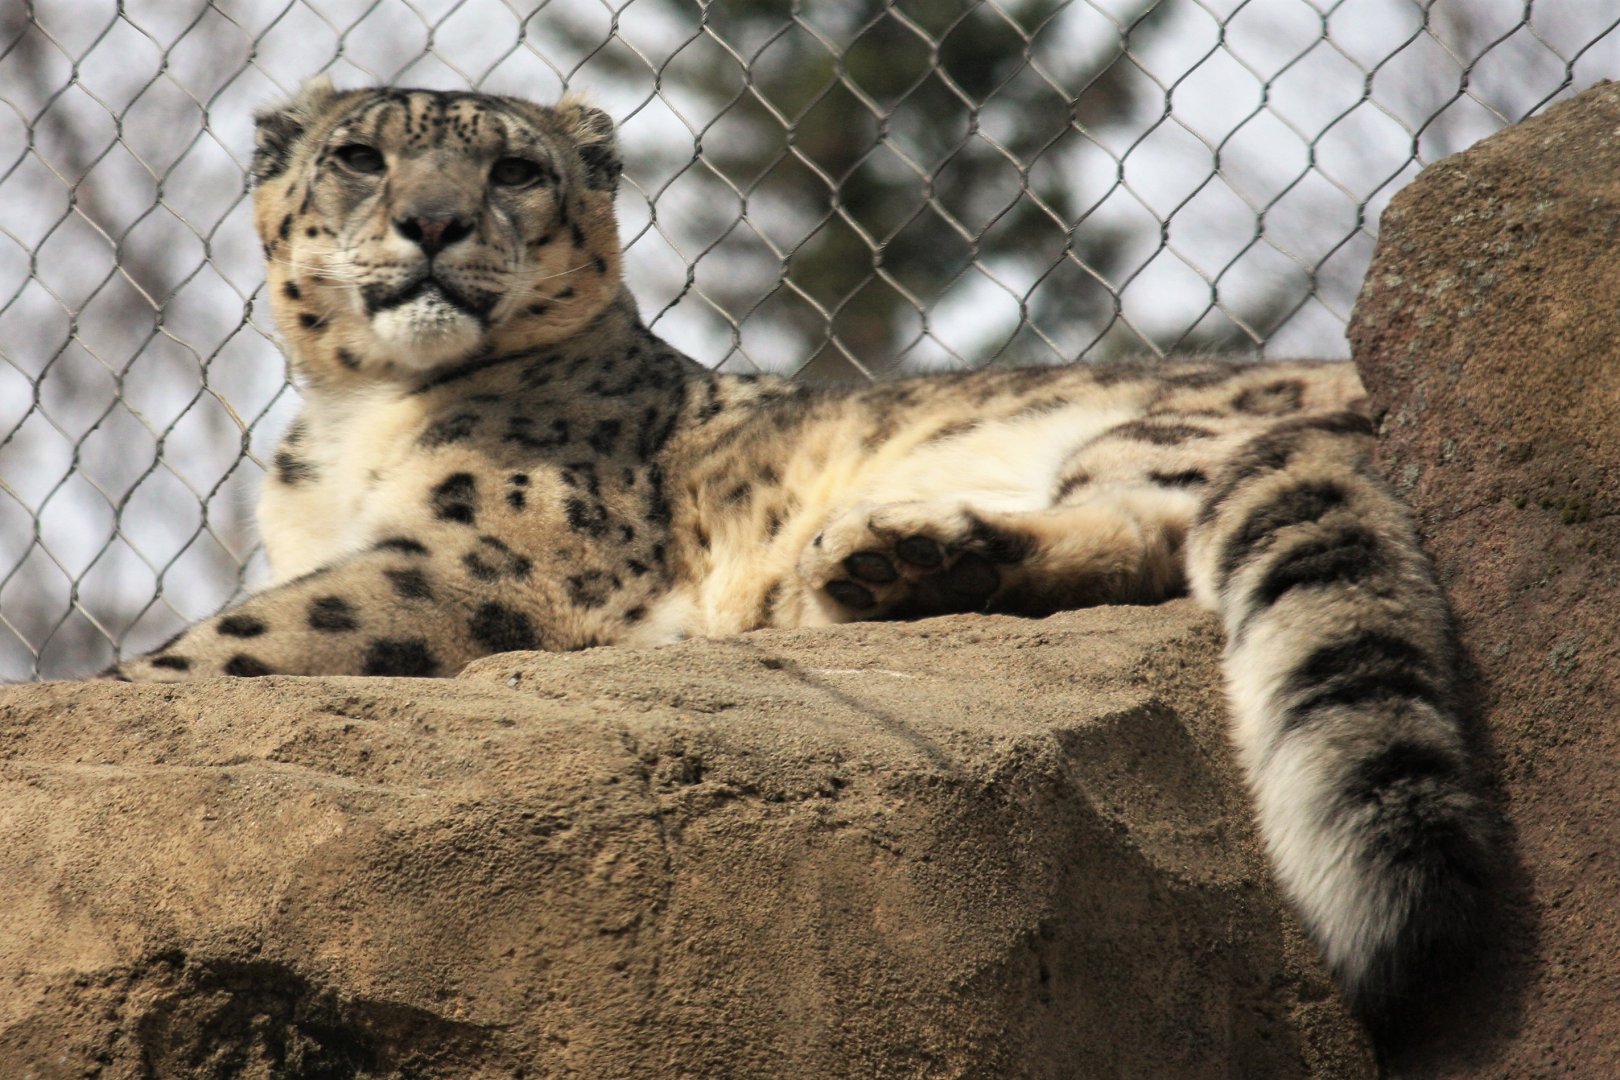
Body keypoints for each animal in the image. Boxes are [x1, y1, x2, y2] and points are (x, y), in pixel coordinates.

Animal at [106, 77, 1493, 1044]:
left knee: (1149, 524)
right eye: (360, 155)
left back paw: (892, 557)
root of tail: (1369, 388)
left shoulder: (500, 555)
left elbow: (258, 634)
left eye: (514, 168)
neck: (352, 426)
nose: (435, 222)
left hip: (1153, 426)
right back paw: (913, 568)